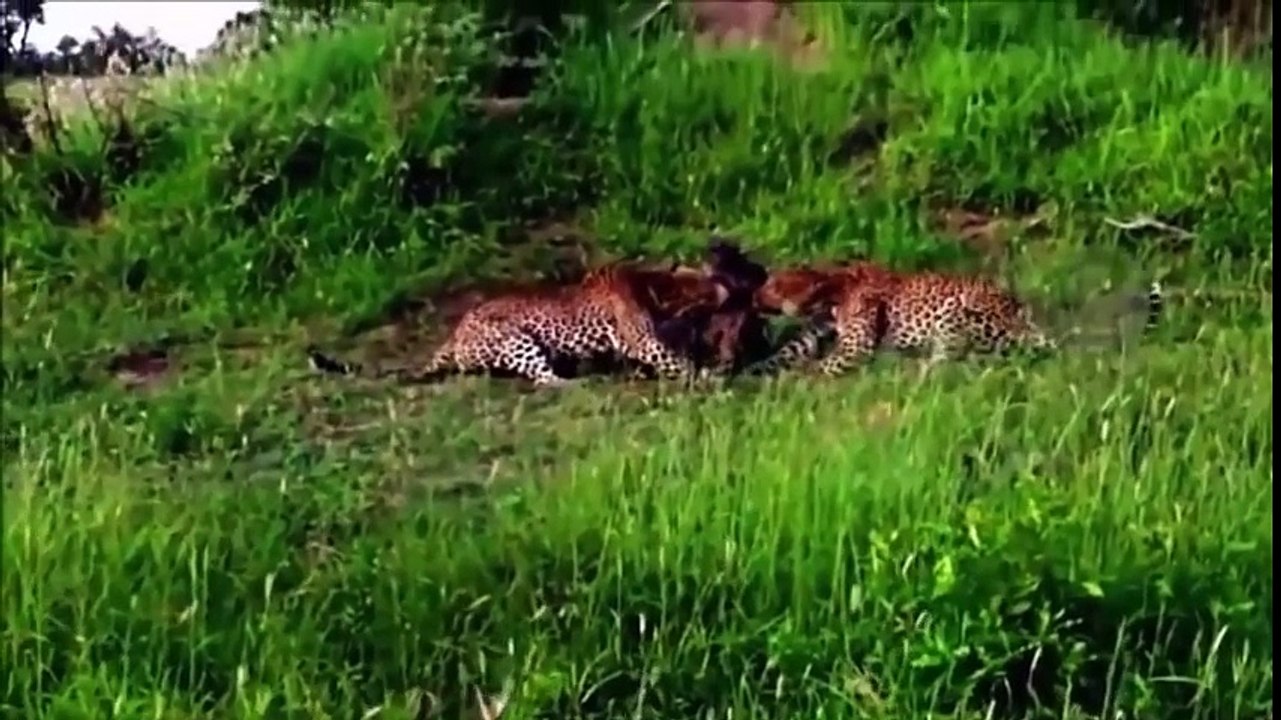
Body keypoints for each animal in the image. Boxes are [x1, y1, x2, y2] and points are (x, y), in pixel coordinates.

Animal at [307, 261, 734, 387]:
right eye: (706, 285)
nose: (725, 286)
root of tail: (453, 335)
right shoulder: (644, 341)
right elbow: (676, 360)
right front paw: (708, 374)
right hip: (515, 340)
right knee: (543, 379)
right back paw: (577, 380)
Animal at [742, 260, 1165, 377]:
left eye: (774, 285)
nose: (754, 294)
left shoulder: (854, 346)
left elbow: (822, 366)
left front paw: (796, 381)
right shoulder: (821, 332)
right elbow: (790, 353)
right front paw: (753, 374)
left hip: (957, 312)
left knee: (954, 363)